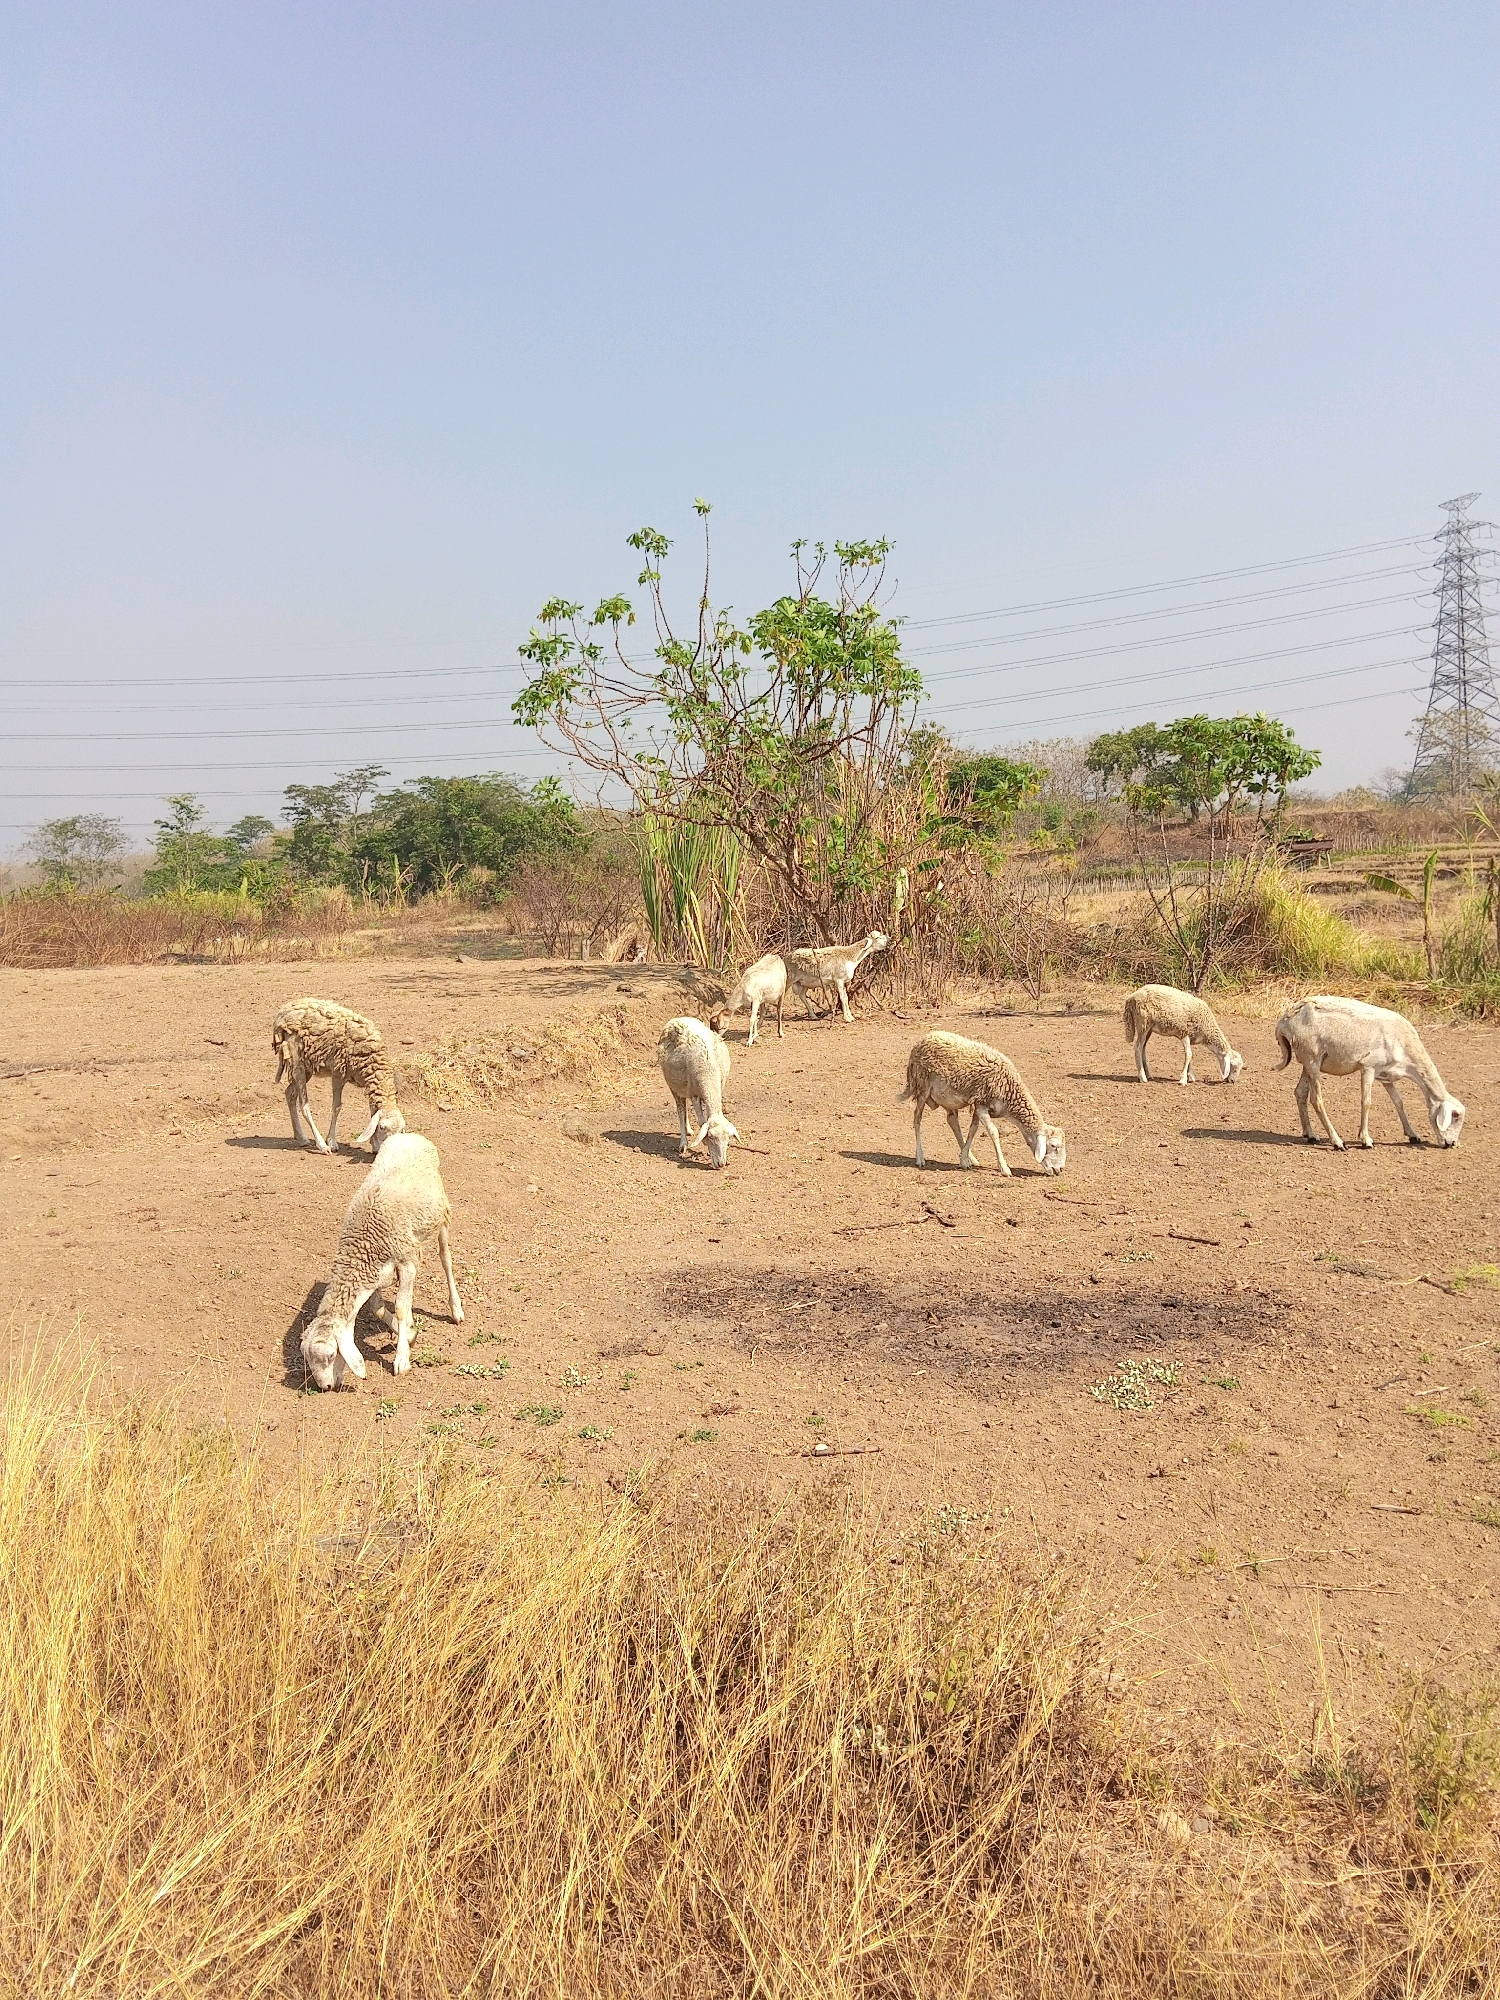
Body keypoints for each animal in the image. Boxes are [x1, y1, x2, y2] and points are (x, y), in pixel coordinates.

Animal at [272, 997, 406, 1154]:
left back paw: (301, 1137)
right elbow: (336, 1107)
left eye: (401, 1130)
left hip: (307, 1067)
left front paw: (374, 1144)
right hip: (296, 1061)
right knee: (304, 1106)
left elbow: (372, 1112)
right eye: (382, 1127)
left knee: (290, 1093)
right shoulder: (338, 1074)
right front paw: (331, 1142)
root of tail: (284, 1011)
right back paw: (321, 1145)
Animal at [300, 1133, 463, 1390]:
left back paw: (456, 1309)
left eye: (331, 1354)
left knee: (445, 1259)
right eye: (306, 1357)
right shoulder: (373, 1273)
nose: (325, 1387)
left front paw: (402, 1358)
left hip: (441, 1216)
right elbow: (377, 1308)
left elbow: (400, 1307)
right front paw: (408, 1333)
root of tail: (410, 1136)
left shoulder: (406, 1262)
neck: (363, 1243)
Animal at [656, 1016, 739, 1167]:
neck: (709, 1072)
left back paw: (689, 1130)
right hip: (674, 1087)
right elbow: (701, 1121)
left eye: (728, 1139)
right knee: (681, 1110)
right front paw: (703, 1141)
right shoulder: (694, 1094)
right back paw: (683, 1142)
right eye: (711, 1137)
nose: (721, 1164)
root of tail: (679, 1018)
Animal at [900, 1031, 1066, 1174]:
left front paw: (964, 1158)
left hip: (947, 1097)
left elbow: (973, 1130)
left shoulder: (978, 1104)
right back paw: (920, 1157)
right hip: (923, 1087)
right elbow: (994, 1133)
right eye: (1053, 1146)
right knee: (917, 1119)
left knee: (952, 1121)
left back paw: (970, 1158)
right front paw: (1004, 1168)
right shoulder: (981, 1104)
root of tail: (923, 1039)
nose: (1060, 1170)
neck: (1010, 1093)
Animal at [1273, 995, 1465, 1152]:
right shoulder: (1368, 1067)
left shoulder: (1385, 1074)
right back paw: (1337, 1142)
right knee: (1316, 1100)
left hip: (1308, 1061)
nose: (1451, 1144)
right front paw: (1366, 1140)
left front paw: (1412, 1135)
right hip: (1312, 1058)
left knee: (1300, 1093)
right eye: (1455, 1115)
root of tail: (1285, 1020)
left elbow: (1398, 1102)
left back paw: (1311, 1134)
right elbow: (1366, 1102)